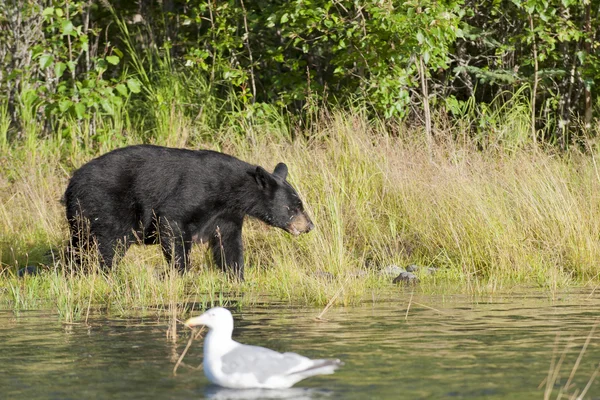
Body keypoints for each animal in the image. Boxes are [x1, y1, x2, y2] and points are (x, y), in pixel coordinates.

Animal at [63, 145, 312, 280]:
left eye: (300, 204)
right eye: (294, 207)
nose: (309, 226)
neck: (230, 191)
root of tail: (71, 183)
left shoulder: (227, 215)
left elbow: (229, 244)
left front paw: (236, 276)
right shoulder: (194, 193)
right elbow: (173, 224)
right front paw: (178, 272)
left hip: (82, 216)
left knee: (79, 245)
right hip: (105, 205)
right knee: (109, 245)